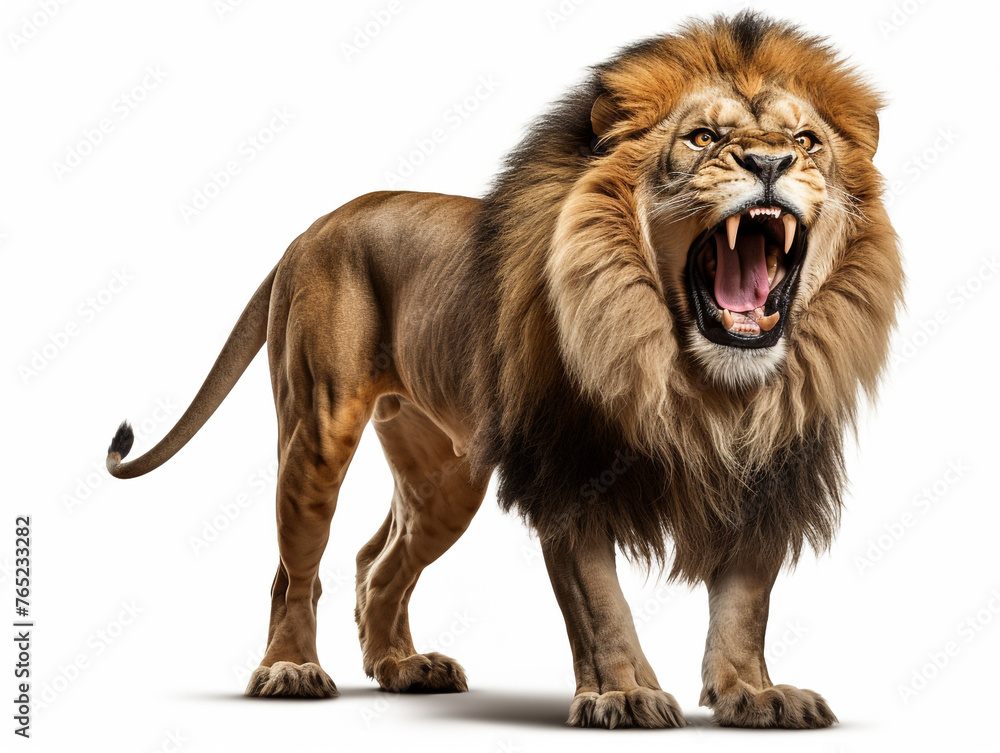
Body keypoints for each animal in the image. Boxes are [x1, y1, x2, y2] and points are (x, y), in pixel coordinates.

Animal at [104, 12, 902, 729]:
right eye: (703, 138)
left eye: (805, 141)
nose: (769, 164)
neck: (697, 377)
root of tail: (313, 227)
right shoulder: (568, 470)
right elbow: (600, 602)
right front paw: (622, 695)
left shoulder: (770, 474)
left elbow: (745, 600)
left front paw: (752, 693)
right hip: (318, 429)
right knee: (295, 570)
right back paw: (291, 669)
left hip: (445, 475)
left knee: (376, 561)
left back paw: (403, 666)